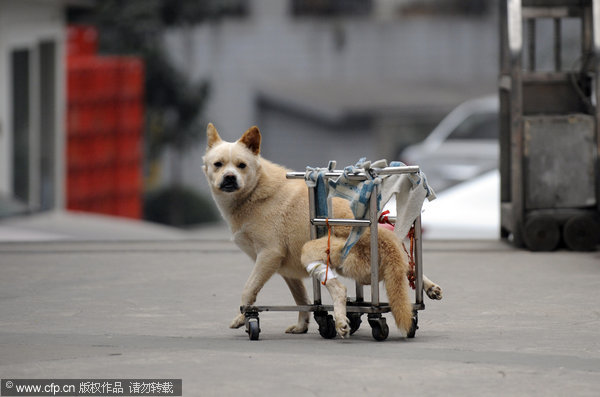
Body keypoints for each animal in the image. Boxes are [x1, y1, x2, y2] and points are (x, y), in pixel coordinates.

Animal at [204, 124, 442, 340]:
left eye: (241, 165)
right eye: (218, 164)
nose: (229, 178)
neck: (253, 193)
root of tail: (384, 241)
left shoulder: (269, 255)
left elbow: (248, 290)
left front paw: (244, 317)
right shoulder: (283, 268)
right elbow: (302, 300)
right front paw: (302, 326)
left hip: (319, 253)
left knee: (341, 290)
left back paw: (341, 321)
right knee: (407, 268)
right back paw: (427, 288)